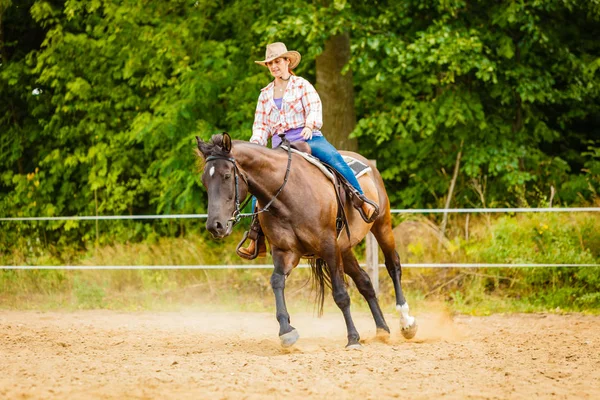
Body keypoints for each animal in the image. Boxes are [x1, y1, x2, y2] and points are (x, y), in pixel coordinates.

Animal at [197, 133, 418, 348]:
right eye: (204, 181)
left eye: (227, 176)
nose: (215, 225)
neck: (288, 195)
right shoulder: (285, 251)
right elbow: (276, 281)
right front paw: (286, 331)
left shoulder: (328, 246)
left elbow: (341, 294)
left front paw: (353, 339)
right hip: (344, 248)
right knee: (364, 281)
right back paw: (382, 330)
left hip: (382, 225)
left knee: (393, 265)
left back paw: (406, 322)